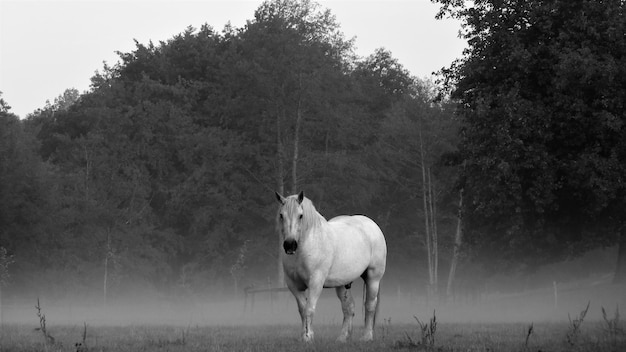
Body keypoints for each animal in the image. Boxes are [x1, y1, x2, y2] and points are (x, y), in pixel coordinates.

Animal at [274, 191, 386, 342]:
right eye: (281, 215)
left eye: (301, 215)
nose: (290, 245)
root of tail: (372, 225)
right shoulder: (293, 285)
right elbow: (302, 309)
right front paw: (304, 336)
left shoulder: (316, 282)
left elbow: (309, 309)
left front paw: (308, 337)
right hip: (342, 284)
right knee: (348, 308)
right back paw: (342, 338)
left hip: (373, 278)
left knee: (370, 305)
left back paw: (367, 337)